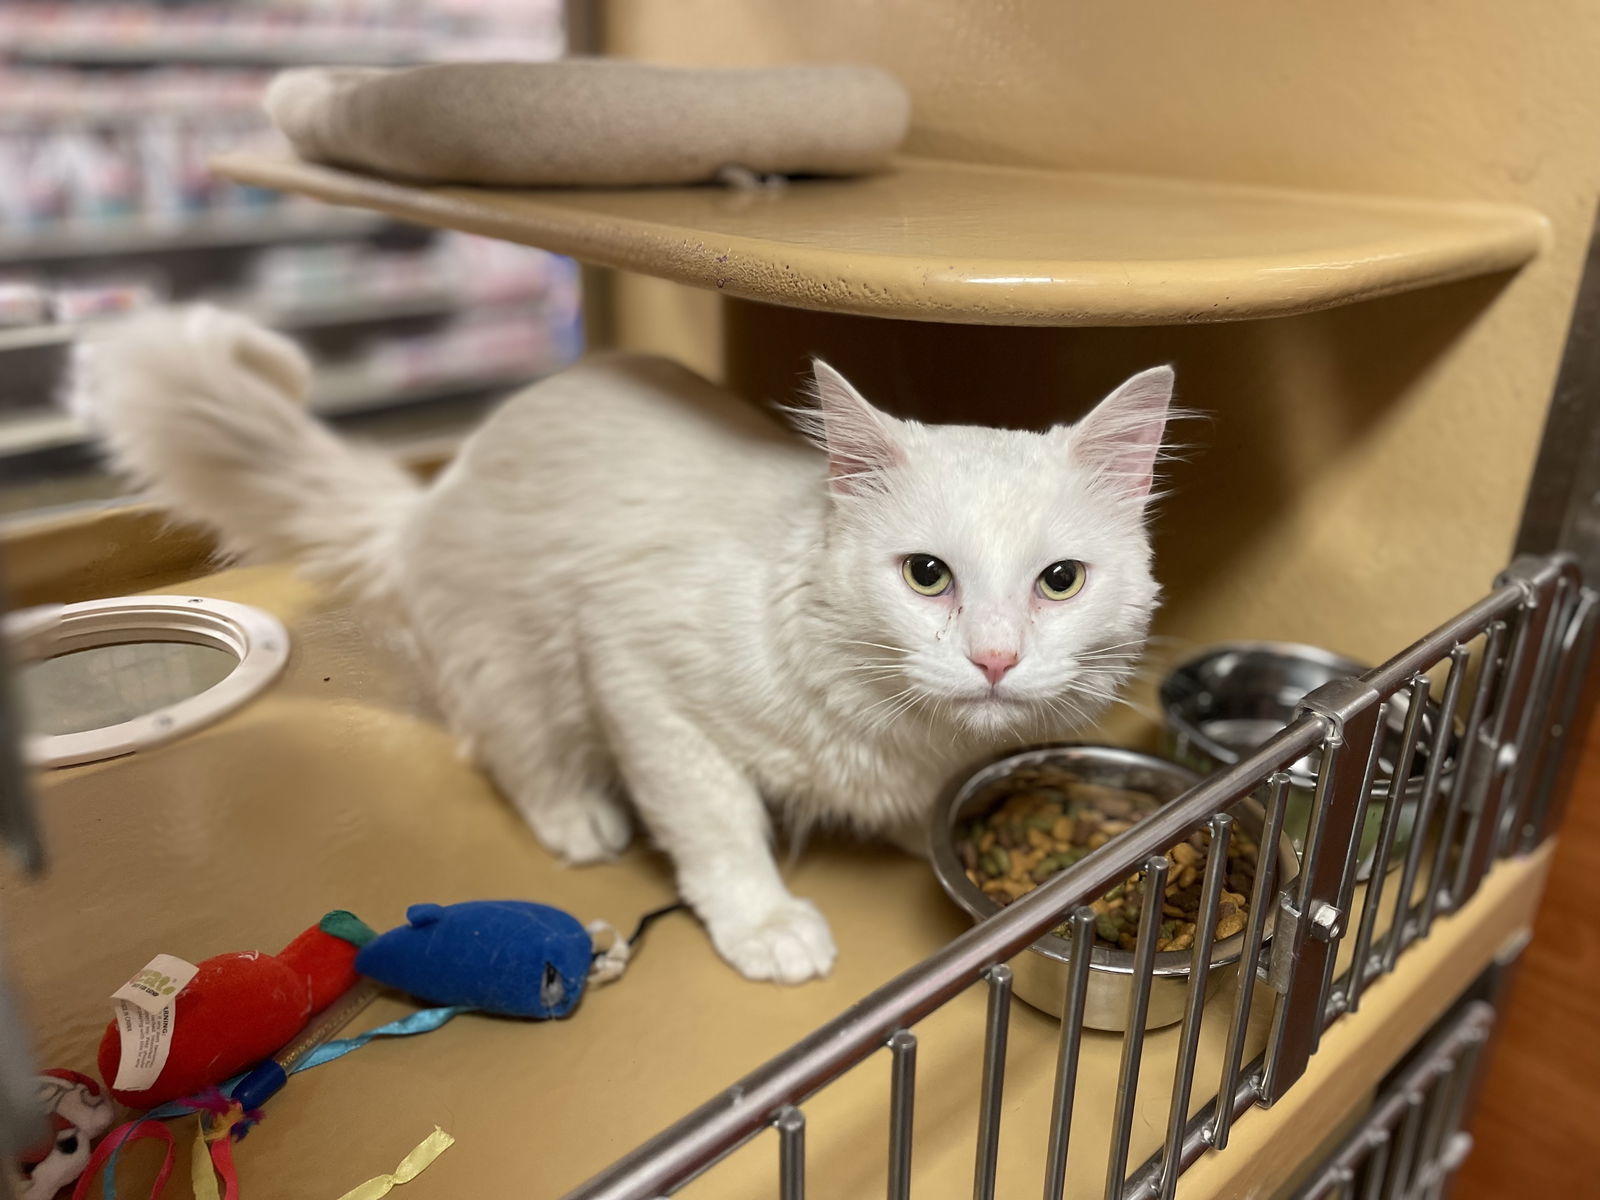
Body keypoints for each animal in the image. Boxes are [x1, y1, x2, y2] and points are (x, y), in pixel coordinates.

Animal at [72, 307, 1177, 985]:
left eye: (1060, 582)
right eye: (926, 576)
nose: (993, 660)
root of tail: (431, 498)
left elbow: (923, 806)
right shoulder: (641, 681)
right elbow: (720, 830)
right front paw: (764, 924)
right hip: (517, 666)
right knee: (509, 754)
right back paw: (578, 819)